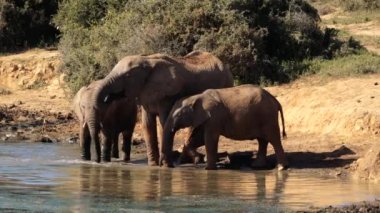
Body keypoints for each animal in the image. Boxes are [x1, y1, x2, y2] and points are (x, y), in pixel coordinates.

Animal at [93, 50, 233, 166]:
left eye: (127, 76)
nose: (108, 98)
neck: (147, 60)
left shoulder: (167, 96)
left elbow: (163, 124)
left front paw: (164, 165)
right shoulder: (146, 94)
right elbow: (147, 125)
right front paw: (153, 166)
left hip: (226, 84)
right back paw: (189, 160)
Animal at [160, 84, 288, 171]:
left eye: (178, 115)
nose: (170, 166)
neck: (196, 97)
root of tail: (275, 100)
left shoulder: (214, 117)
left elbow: (209, 139)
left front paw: (208, 169)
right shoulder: (206, 118)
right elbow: (199, 139)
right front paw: (198, 159)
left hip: (268, 117)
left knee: (273, 139)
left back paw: (280, 168)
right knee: (262, 140)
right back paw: (257, 166)